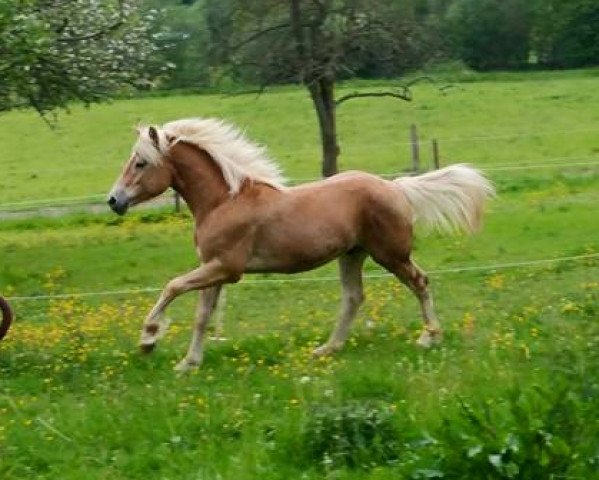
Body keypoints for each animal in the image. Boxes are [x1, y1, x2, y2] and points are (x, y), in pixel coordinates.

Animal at [108, 118, 496, 374]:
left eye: (140, 163)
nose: (114, 201)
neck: (224, 201)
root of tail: (395, 187)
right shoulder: (213, 269)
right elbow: (202, 315)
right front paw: (188, 363)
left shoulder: (225, 269)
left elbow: (172, 286)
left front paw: (148, 340)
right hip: (352, 255)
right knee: (354, 297)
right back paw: (327, 349)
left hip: (391, 254)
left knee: (420, 283)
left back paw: (429, 339)